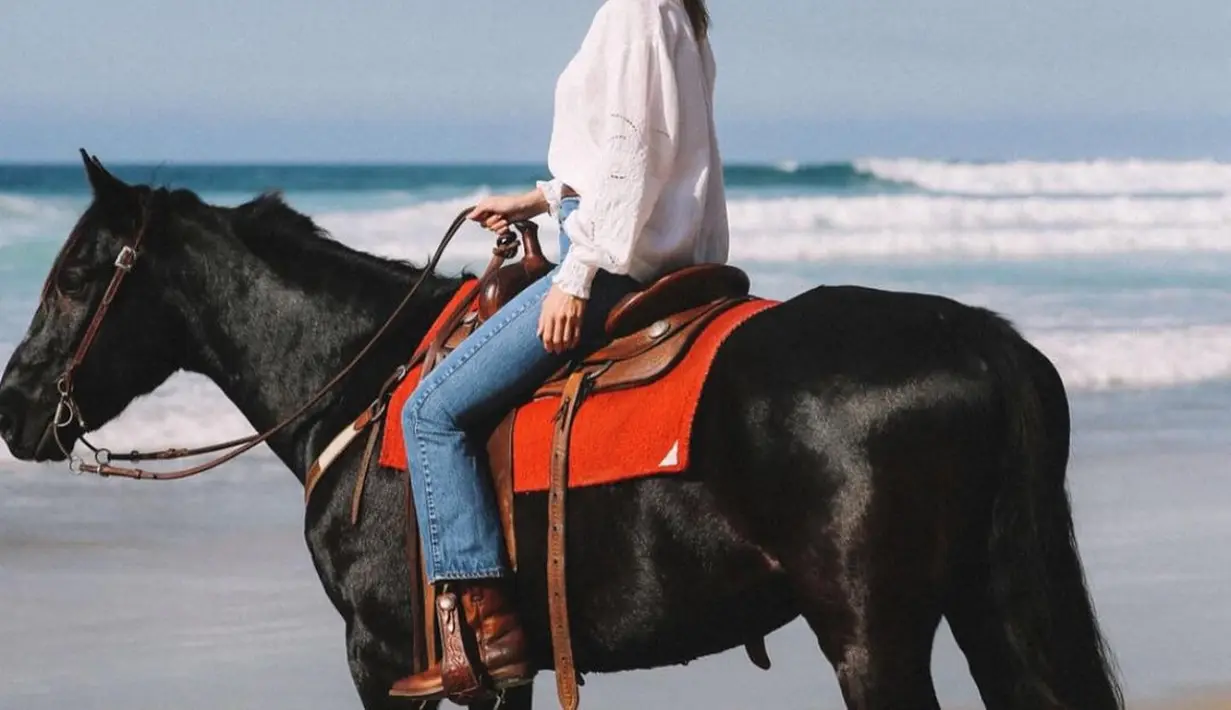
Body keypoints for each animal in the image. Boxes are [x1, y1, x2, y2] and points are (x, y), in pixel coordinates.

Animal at [0, 156, 1127, 708]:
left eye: (76, 276)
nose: (12, 407)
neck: (359, 380)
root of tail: (977, 336)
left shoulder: (382, 658)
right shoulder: (494, 674)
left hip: (870, 634)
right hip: (986, 604)